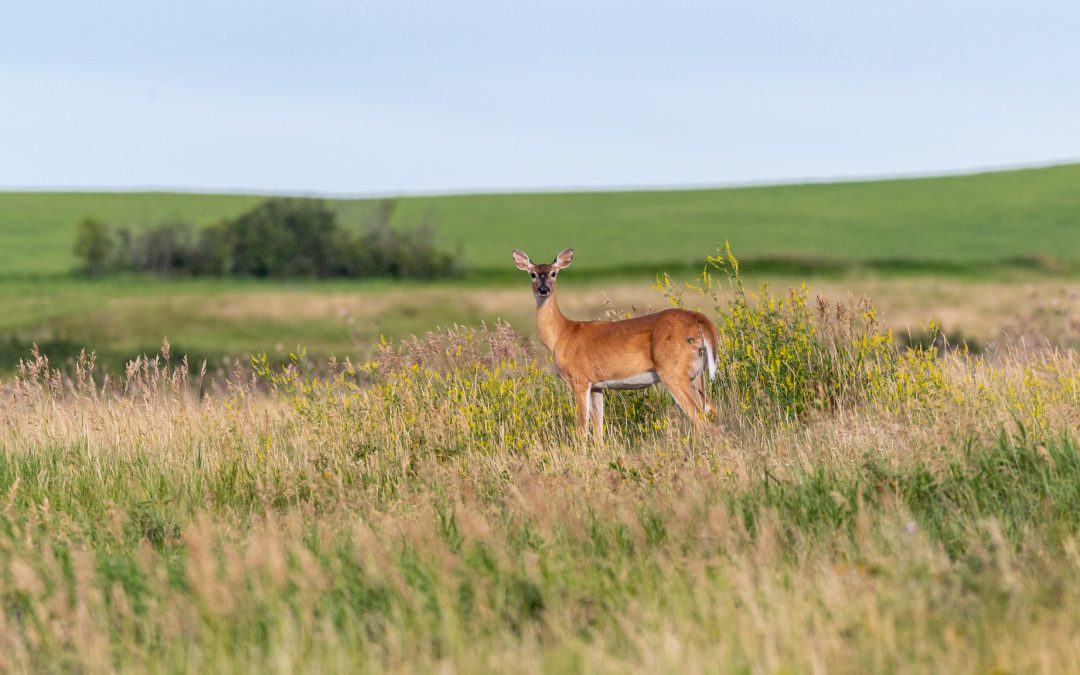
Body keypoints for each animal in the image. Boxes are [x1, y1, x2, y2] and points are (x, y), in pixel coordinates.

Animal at [511, 246, 717, 436]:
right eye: (533, 274)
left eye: (553, 273)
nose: (543, 289)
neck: (562, 335)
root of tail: (698, 320)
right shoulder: (597, 386)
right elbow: (598, 429)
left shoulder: (579, 378)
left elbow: (582, 428)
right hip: (696, 373)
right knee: (710, 409)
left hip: (673, 370)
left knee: (698, 417)